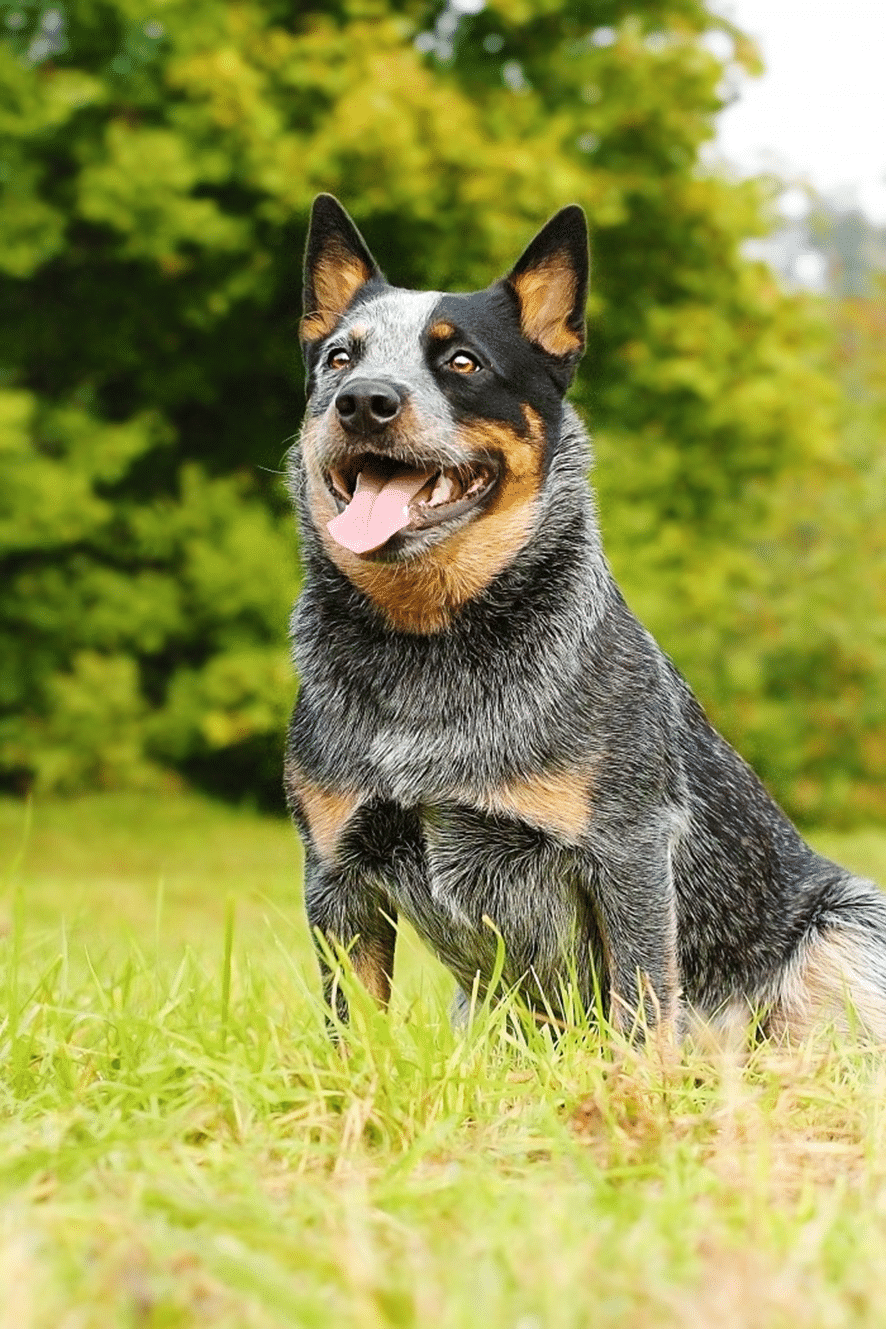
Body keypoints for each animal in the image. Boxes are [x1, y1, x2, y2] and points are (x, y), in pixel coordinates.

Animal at [288, 194, 882, 1047]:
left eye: (462, 362)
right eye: (339, 357)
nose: (364, 399)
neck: (428, 646)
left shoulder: (629, 850)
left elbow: (642, 1008)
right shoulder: (336, 869)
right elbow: (354, 1031)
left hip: (850, 920)